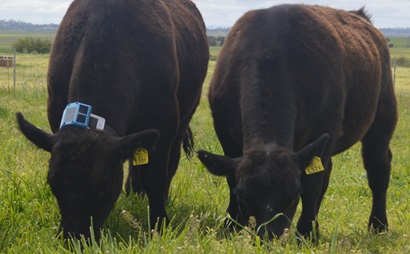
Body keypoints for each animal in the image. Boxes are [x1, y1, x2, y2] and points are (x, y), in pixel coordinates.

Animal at [16, 0, 208, 240]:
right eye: (52, 183)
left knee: (169, 162)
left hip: (186, 113)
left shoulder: (165, 118)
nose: (73, 238)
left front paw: (159, 223)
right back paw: (134, 194)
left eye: (103, 187)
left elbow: (155, 174)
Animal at [199, 4, 398, 241]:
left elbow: (312, 184)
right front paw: (232, 224)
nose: (270, 235)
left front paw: (306, 232)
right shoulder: (225, 134)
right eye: (242, 196)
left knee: (378, 168)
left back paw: (378, 225)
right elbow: (230, 178)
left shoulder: (324, 128)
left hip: (382, 119)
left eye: (294, 196)